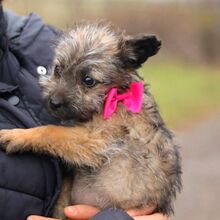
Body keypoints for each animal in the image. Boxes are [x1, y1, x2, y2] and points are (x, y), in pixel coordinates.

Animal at [0, 22, 182, 218]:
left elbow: (52, 131)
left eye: (88, 81)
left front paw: (18, 136)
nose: (53, 102)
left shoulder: (97, 139)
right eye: (58, 69)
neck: (115, 96)